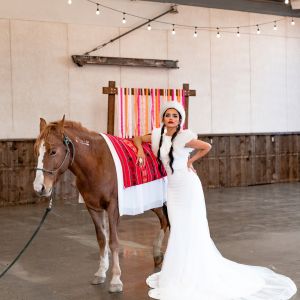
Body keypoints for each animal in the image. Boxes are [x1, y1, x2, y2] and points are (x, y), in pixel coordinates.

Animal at [33, 116, 169, 292]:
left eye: (53, 151)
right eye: (36, 151)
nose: (39, 188)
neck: (97, 163)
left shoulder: (113, 208)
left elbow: (113, 242)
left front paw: (116, 280)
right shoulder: (93, 208)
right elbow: (102, 240)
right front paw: (100, 273)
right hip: (155, 202)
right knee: (164, 221)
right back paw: (158, 254)